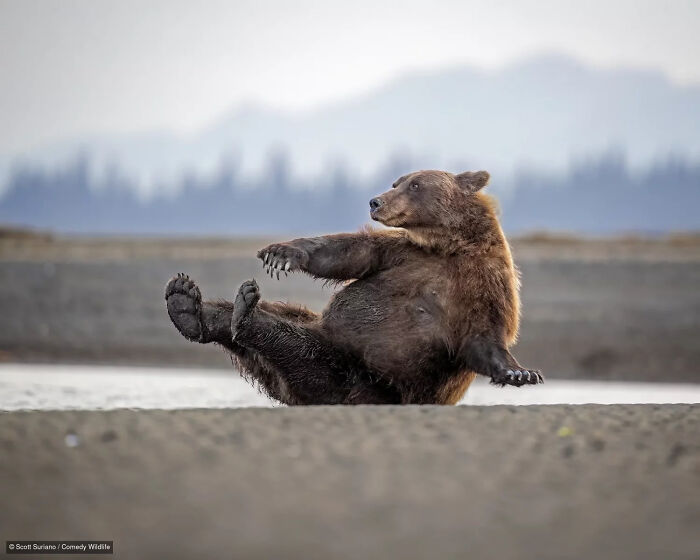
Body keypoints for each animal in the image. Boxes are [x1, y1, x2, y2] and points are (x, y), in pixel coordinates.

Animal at [165, 169, 542, 405]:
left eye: (415, 184)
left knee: (291, 344)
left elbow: (484, 336)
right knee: (282, 318)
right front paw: (280, 253)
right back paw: (188, 304)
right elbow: (347, 253)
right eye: (396, 181)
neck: (446, 245)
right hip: (328, 340)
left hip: (352, 376)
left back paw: (237, 314)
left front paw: (520, 372)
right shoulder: (401, 254)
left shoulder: (485, 282)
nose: (376, 200)